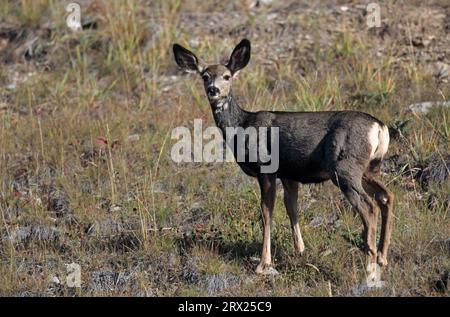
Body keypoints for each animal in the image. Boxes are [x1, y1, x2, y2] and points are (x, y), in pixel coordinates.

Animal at [173, 38, 394, 278]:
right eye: (205, 76)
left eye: (227, 76)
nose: (213, 90)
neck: (242, 125)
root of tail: (379, 127)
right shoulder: (289, 174)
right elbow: (292, 208)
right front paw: (300, 250)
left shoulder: (266, 168)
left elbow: (266, 212)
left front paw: (263, 264)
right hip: (369, 168)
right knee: (386, 196)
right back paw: (382, 258)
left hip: (345, 167)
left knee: (369, 206)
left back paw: (370, 266)